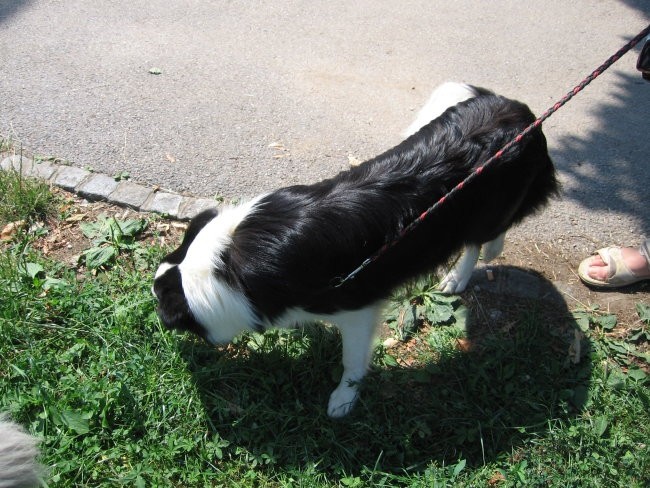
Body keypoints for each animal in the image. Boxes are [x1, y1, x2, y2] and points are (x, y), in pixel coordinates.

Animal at [153, 82, 556, 418]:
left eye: (161, 301)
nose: (157, 319)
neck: (227, 266)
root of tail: (519, 110)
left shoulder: (356, 309)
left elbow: (352, 360)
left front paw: (344, 398)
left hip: (489, 206)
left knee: (485, 234)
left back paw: (466, 271)